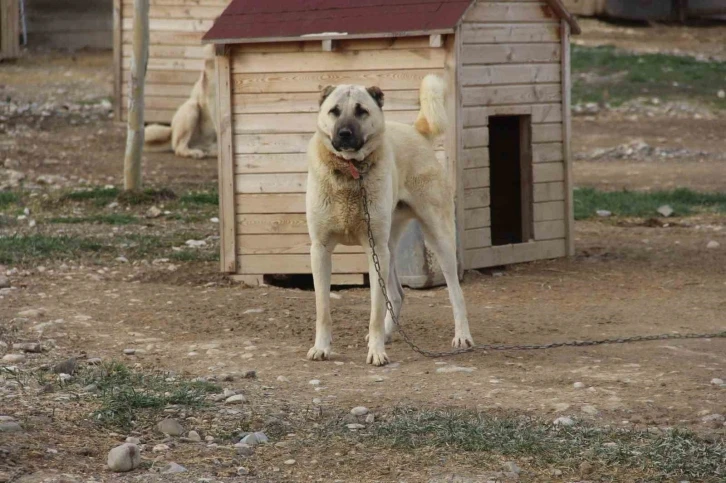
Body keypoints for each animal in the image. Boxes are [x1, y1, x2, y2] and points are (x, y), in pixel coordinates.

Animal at [304, 73, 474, 364]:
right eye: (334, 111)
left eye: (361, 111)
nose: (345, 134)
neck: (351, 172)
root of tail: (416, 131)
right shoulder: (321, 250)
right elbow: (322, 309)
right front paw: (322, 347)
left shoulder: (375, 251)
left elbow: (374, 310)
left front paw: (376, 351)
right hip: (389, 249)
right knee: (397, 293)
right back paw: (387, 333)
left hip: (436, 240)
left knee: (455, 292)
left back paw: (462, 335)